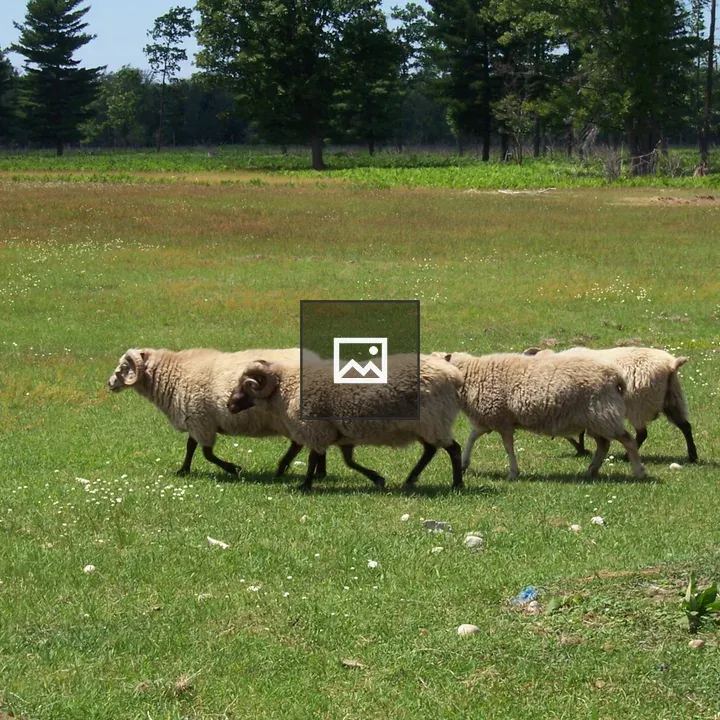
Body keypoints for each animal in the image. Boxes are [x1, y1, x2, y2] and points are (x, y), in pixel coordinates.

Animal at [107, 347, 324, 477]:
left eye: (125, 366)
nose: (109, 383)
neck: (175, 374)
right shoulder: (194, 419)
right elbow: (191, 447)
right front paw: (184, 470)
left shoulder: (201, 420)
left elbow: (206, 453)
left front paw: (233, 468)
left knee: (299, 444)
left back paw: (285, 469)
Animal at [226, 354, 464, 491]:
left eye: (247, 385)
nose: (229, 405)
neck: (288, 387)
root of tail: (453, 375)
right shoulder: (341, 434)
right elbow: (349, 461)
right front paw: (377, 479)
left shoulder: (316, 429)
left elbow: (313, 459)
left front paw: (305, 485)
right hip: (427, 426)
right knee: (430, 450)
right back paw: (411, 479)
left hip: (434, 421)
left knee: (453, 449)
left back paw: (457, 484)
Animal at [436, 351, 646, 480]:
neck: (472, 374)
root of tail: (616, 376)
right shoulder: (488, 419)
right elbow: (472, 437)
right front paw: (464, 464)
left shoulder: (501, 419)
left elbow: (508, 447)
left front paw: (513, 473)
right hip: (596, 419)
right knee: (604, 445)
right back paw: (591, 471)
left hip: (603, 414)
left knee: (627, 440)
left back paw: (639, 471)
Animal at [523, 346, 697, 462]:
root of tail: (671, 364)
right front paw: (581, 450)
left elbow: (577, 433)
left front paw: (581, 449)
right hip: (673, 400)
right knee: (686, 426)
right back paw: (692, 455)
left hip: (638, 405)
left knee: (642, 433)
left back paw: (627, 456)